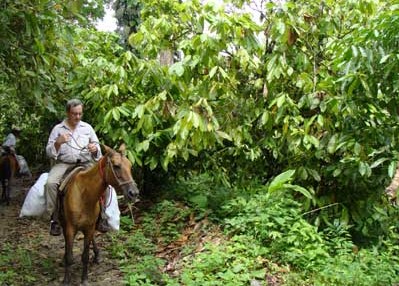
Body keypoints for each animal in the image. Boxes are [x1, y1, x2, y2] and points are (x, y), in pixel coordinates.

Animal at [59, 144, 139, 284]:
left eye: (130, 166)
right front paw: (66, 279)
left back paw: (97, 255)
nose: (133, 193)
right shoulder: (70, 228)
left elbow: (85, 255)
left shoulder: (90, 227)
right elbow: (69, 255)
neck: (84, 195)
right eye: (116, 166)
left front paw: (84, 279)